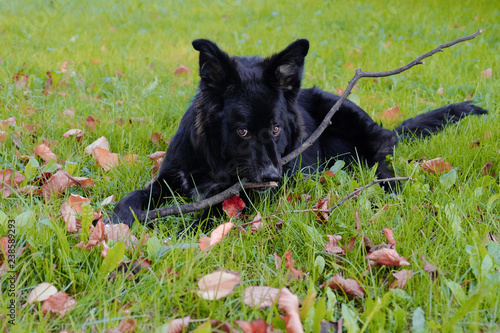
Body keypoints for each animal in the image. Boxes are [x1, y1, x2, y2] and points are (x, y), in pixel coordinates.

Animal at [108, 38, 484, 226]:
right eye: (242, 131)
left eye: (276, 128)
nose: (273, 176)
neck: (217, 164)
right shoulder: (169, 178)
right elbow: (133, 197)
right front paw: (118, 222)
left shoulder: (252, 193)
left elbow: (212, 210)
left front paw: (184, 230)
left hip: (344, 112)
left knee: (383, 151)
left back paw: (388, 185)